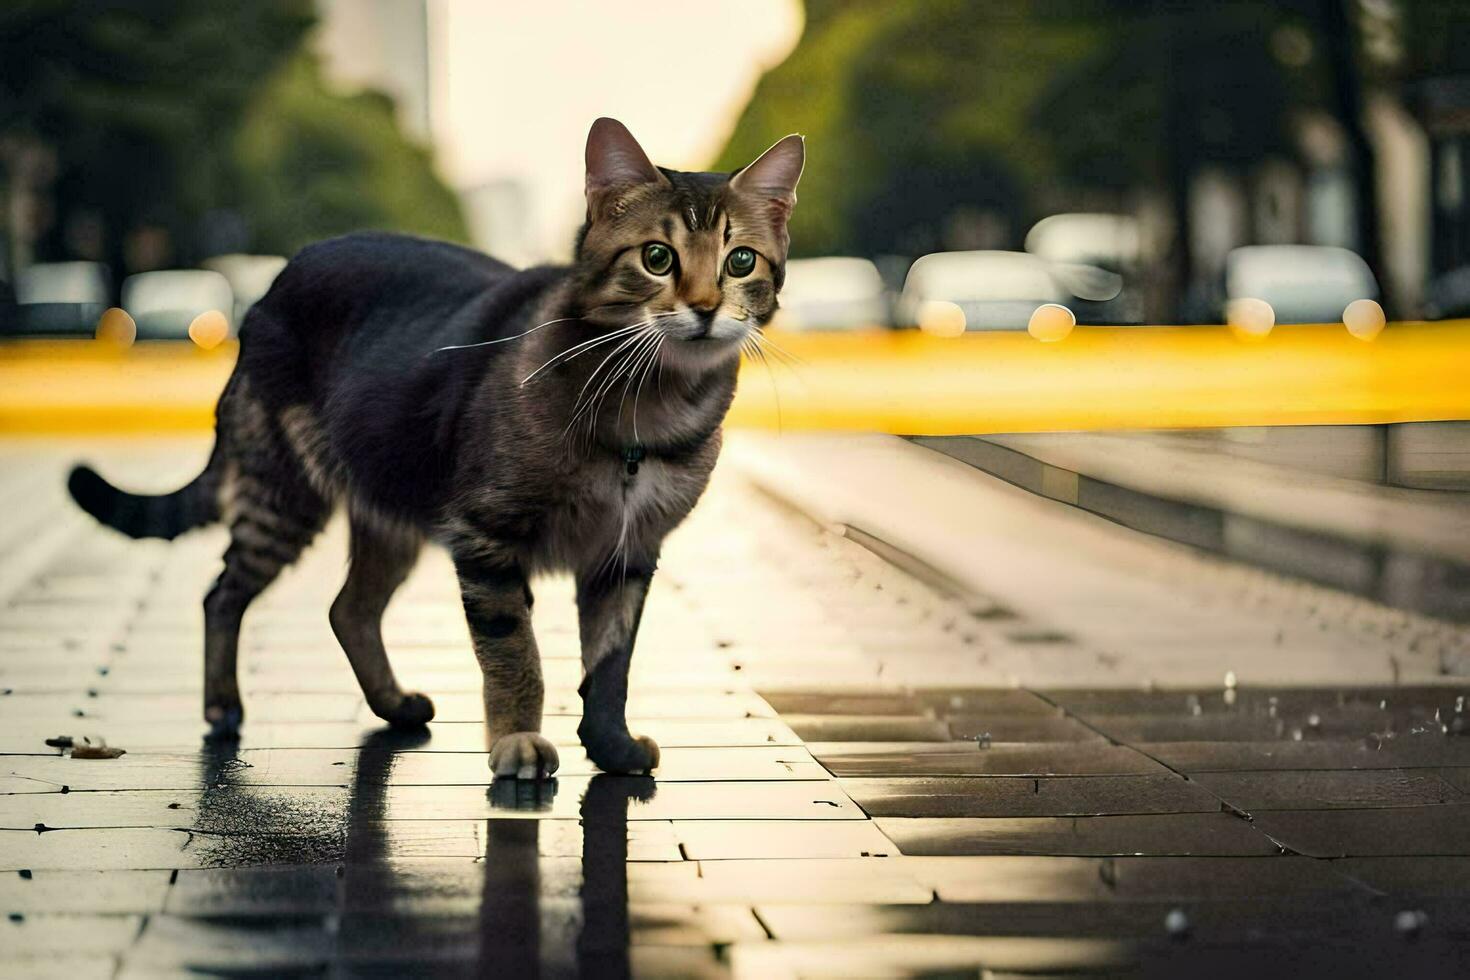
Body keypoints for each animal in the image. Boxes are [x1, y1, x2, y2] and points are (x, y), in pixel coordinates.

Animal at [69, 119, 805, 775]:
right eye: (657, 258)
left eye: (740, 261)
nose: (706, 307)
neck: (646, 408)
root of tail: (272, 286)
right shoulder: (487, 538)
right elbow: (516, 656)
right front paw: (517, 743)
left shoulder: (626, 555)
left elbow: (610, 665)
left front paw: (611, 748)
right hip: (284, 495)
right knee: (222, 594)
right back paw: (223, 707)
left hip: (392, 503)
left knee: (349, 609)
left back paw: (392, 704)